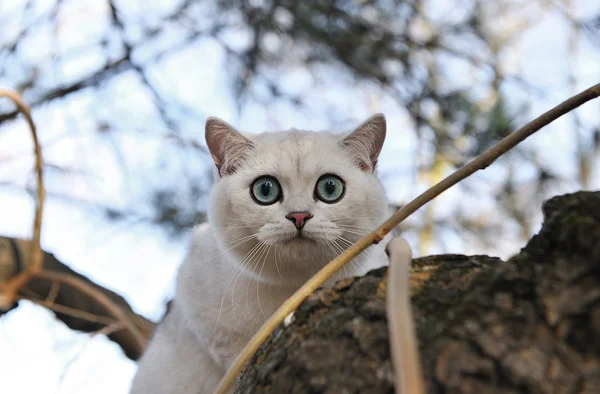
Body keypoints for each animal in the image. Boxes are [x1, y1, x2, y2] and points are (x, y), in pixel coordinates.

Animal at [131, 114, 392, 394]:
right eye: (265, 190)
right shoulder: (197, 298)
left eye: (330, 187)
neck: (294, 287)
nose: (299, 216)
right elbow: (233, 355)